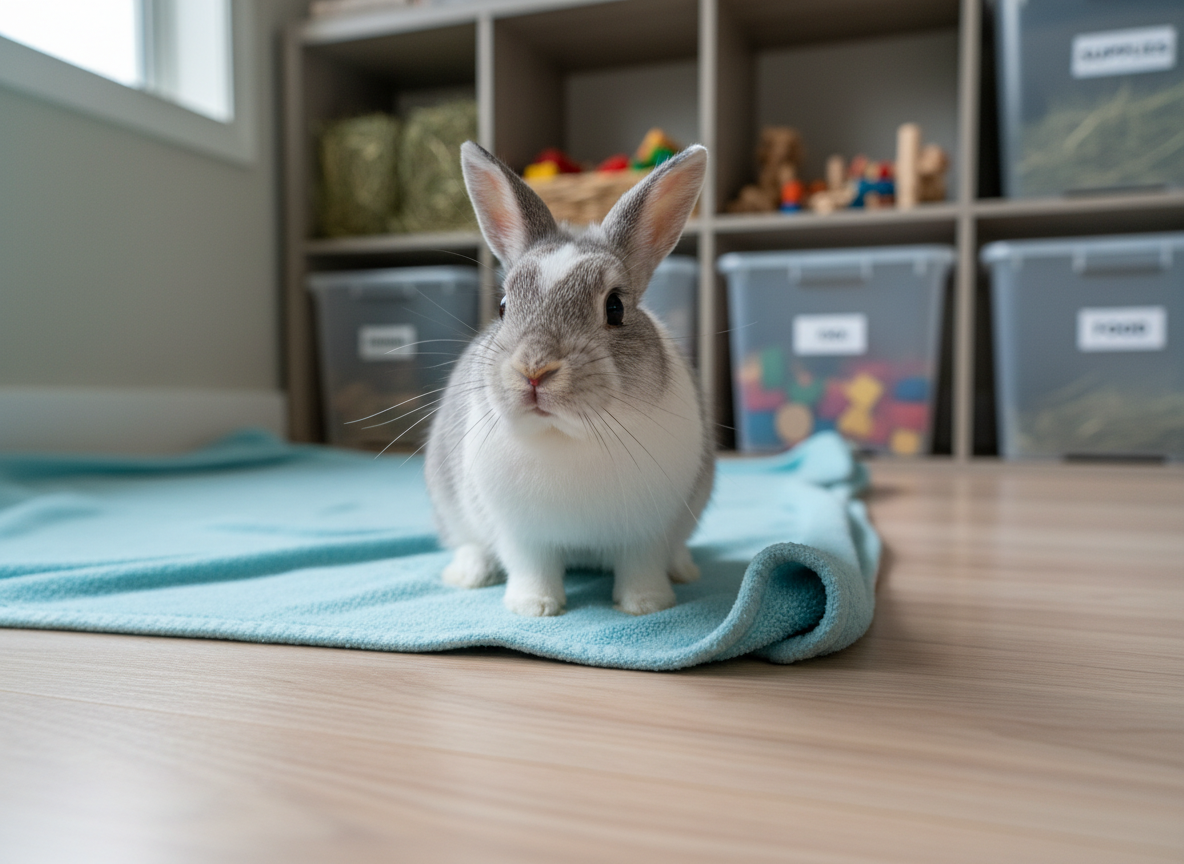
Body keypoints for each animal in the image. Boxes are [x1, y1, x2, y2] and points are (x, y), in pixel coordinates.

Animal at [424, 141, 714, 617]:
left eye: (615, 307)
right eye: (503, 306)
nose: (534, 370)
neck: (567, 435)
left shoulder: (646, 534)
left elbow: (641, 567)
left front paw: (647, 605)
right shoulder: (523, 536)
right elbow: (532, 568)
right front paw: (533, 608)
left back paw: (684, 569)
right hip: (452, 506)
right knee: (469, 543)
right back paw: (467, 574)